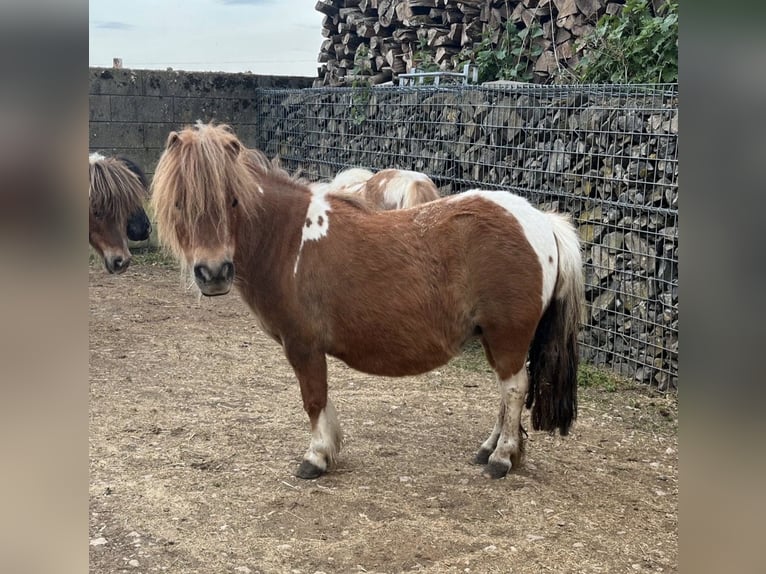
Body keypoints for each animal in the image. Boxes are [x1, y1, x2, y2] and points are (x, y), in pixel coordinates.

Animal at [151, 122, 584, 481]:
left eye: (233, 200)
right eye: (179, 202)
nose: (214, 273)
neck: (288, 240)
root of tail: (542, 221)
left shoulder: (302, 345)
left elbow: (314, 398)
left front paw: (316, 457)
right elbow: (321, 398)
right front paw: (329, 449)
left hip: (508, 335)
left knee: (514, 389)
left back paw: (501, 458)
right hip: (496, 338)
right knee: (506, 390)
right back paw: (489, 448)